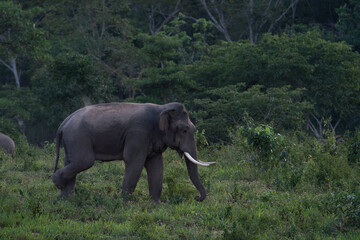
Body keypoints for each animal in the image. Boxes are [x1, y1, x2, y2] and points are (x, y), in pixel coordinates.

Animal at [50, 101, 214, 202]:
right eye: (185, 130)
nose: (196, 198)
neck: (161, 108)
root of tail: (64, 122)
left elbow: (156, 165)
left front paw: (156, 204)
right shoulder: (138, 134)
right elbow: (135, 162)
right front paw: (126, 203)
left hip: (71, 140)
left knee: (71, 161)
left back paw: (64, 199)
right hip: (78, 137)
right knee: (84, 161)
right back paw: (57, 183)